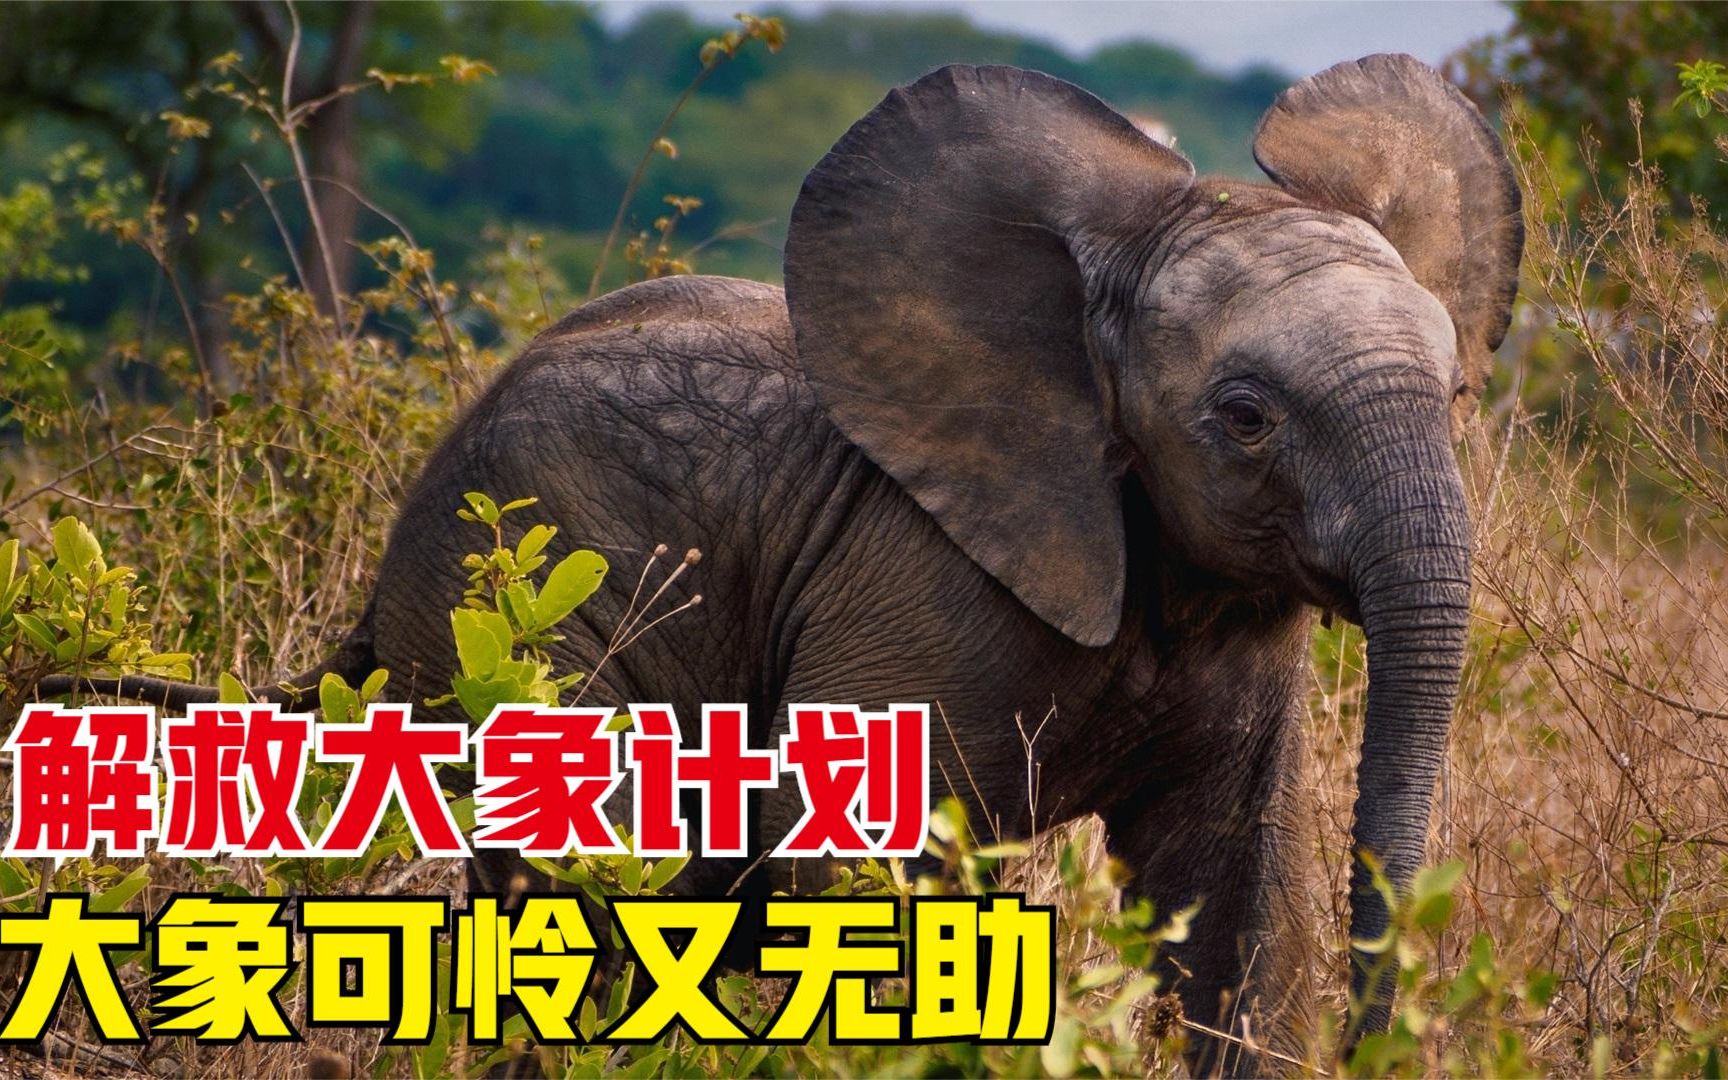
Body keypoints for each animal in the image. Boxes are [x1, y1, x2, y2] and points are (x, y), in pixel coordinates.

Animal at [46, 54, 1521, 1073]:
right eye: (1245, 417)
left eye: (1457, 394)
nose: (1392, 1039)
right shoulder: (917, 584)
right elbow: (863, 890)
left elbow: (1236, 909)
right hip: (498, 607)